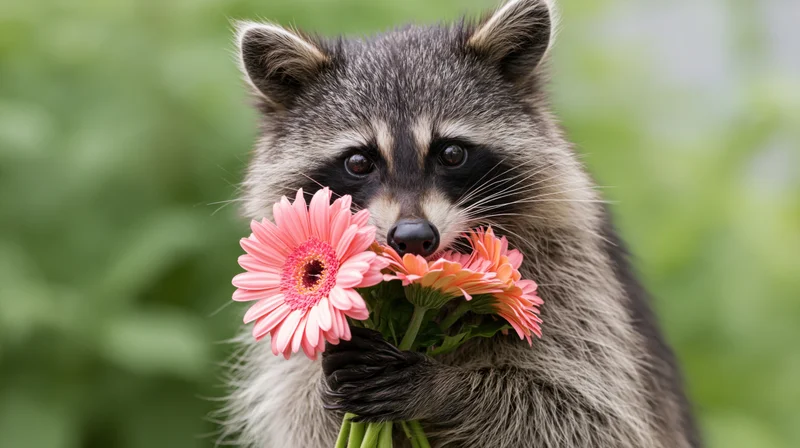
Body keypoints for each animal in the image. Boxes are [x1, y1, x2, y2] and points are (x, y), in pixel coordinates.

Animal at [222, 1, 700, 447]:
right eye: (358, 162)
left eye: (451, 153)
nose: (414, 237)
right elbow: (301, 409)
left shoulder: (573, 280)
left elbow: (582, 412)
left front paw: (443, 388)